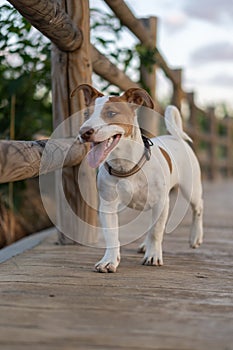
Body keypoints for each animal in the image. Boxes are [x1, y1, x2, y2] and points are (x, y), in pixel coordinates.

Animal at [76, 83, 202, 272]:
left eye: (111, 113)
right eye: (86, 114)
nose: (84, 132)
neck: (126, 166)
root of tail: (176, 137)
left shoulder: (161, 203)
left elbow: (156, 231)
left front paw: (153, 255)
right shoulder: (108, 206)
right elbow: (111, 234)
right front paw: (109, 260)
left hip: (191, 189)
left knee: (198, 208)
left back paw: (195, 237)